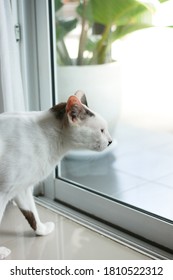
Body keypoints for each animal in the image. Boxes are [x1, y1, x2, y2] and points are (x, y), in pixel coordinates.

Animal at [0, 91, 112, 258]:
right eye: (102, 130)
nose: (111, 141)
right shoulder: (3, 192)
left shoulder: (21, 188)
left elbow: (32, 213)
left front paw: (42, 230)